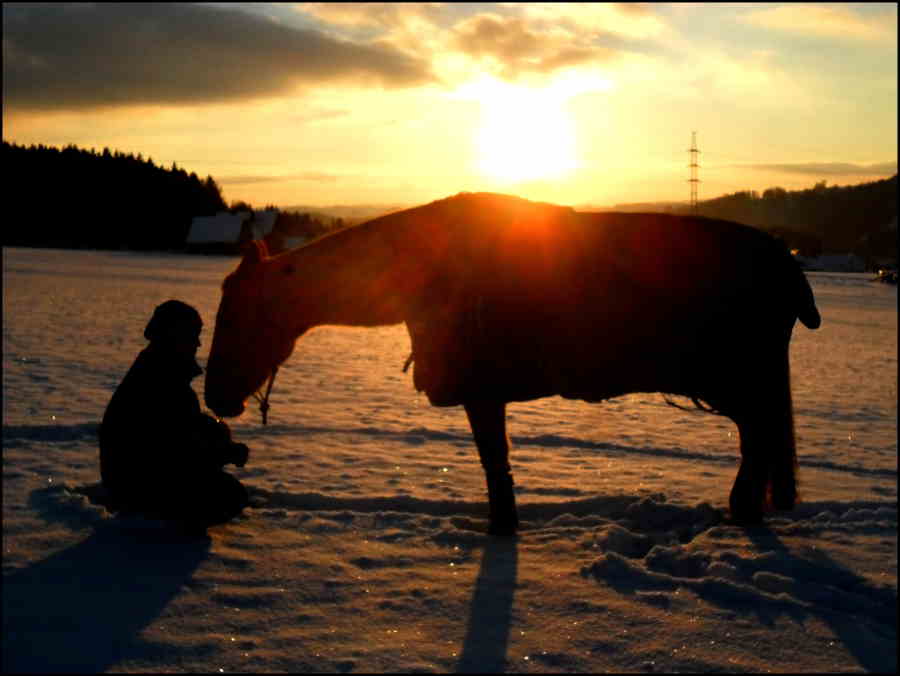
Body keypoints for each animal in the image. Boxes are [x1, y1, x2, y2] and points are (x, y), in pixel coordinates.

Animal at [206, 193, 824, 536]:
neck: (417, 278)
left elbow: (493, 462)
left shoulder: (481, 389)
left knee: (760, 437)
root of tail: (789, 267)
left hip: (737, 380)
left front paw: (502, 526)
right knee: (762, 441)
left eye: (235, 315)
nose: (214, 394)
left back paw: (743, 511)